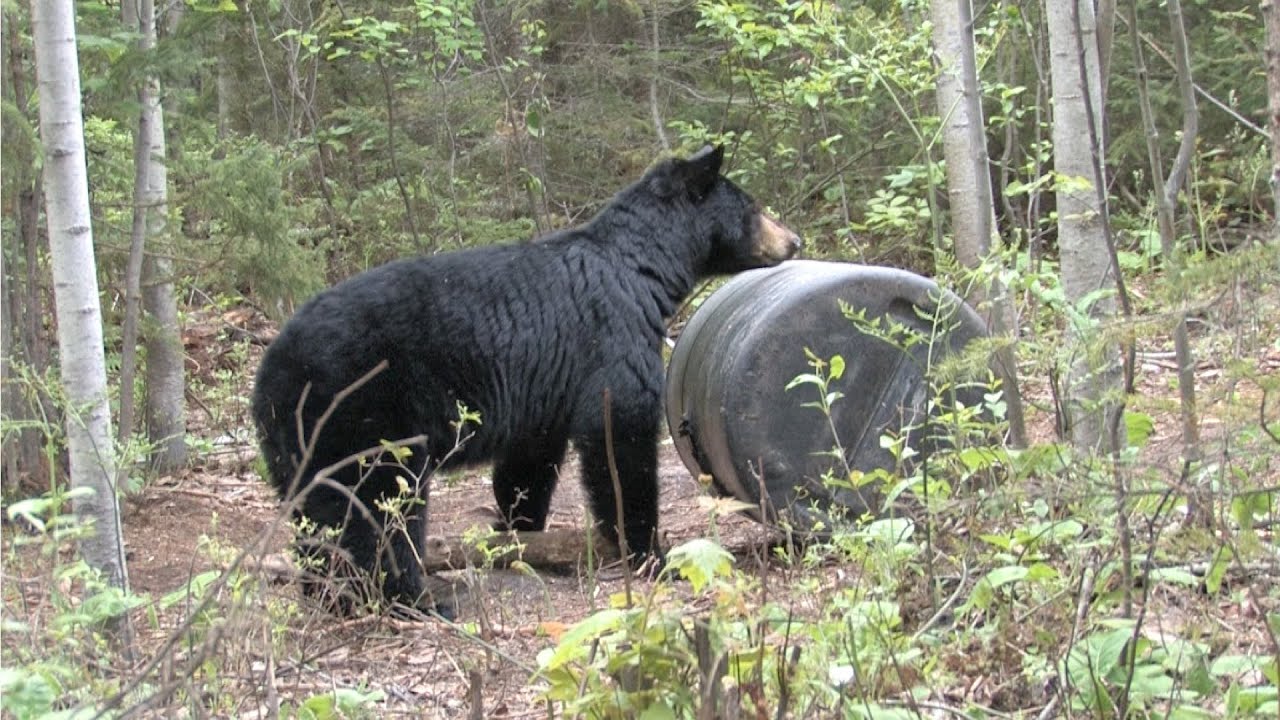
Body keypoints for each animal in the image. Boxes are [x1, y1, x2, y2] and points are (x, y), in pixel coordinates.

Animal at [251, 145, 801, 610]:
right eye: (753, 208)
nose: (794, 240)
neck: (641, 267)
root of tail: (276, 363)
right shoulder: (611, 336)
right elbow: (619, 436)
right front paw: (650, 551)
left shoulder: (542, 391)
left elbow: (528, 463)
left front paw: (520, 534)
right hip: (364, 407)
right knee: (374, 503)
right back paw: (409, 597)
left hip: (296, 438)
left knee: (318, 511)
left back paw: (328, 592)